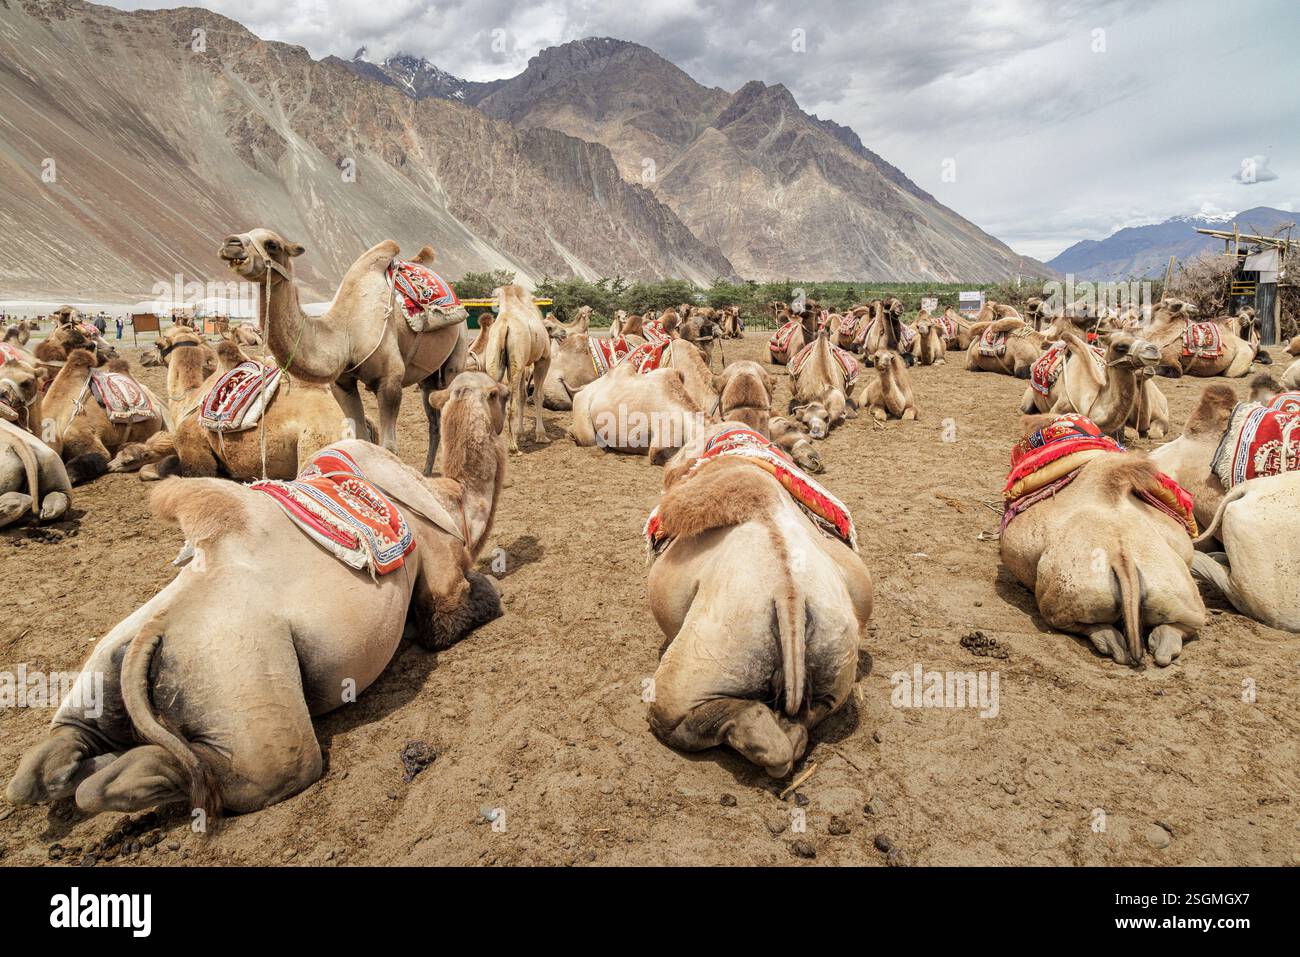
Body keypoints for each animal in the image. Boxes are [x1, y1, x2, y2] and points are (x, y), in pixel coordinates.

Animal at [6, 372, 508, 818]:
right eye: (500, 393)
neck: (453, 499)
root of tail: (156, 631)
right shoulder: (442, 571)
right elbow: (472, 603)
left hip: (114, 653)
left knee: (54, 753)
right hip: (245, 690)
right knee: (235, 772)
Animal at [219, 228, 468, 475]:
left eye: (272, 244)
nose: (230, 243)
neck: (345, 332)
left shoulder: (390, 381)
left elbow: (389, 447)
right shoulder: (342, 383)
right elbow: (361, 438)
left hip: (457, 353)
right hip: (428, 377)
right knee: (434, 419)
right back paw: (426, 471)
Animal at [483, 284, 551, 454]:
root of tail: (504, 328)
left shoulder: (524, 364)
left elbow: (523, 396)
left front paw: (522, 434)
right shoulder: (543, 359)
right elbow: (537, 395)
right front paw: (541, 435)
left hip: (495, 362)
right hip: (516, 364)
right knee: (511, 403)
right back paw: (513, 447)